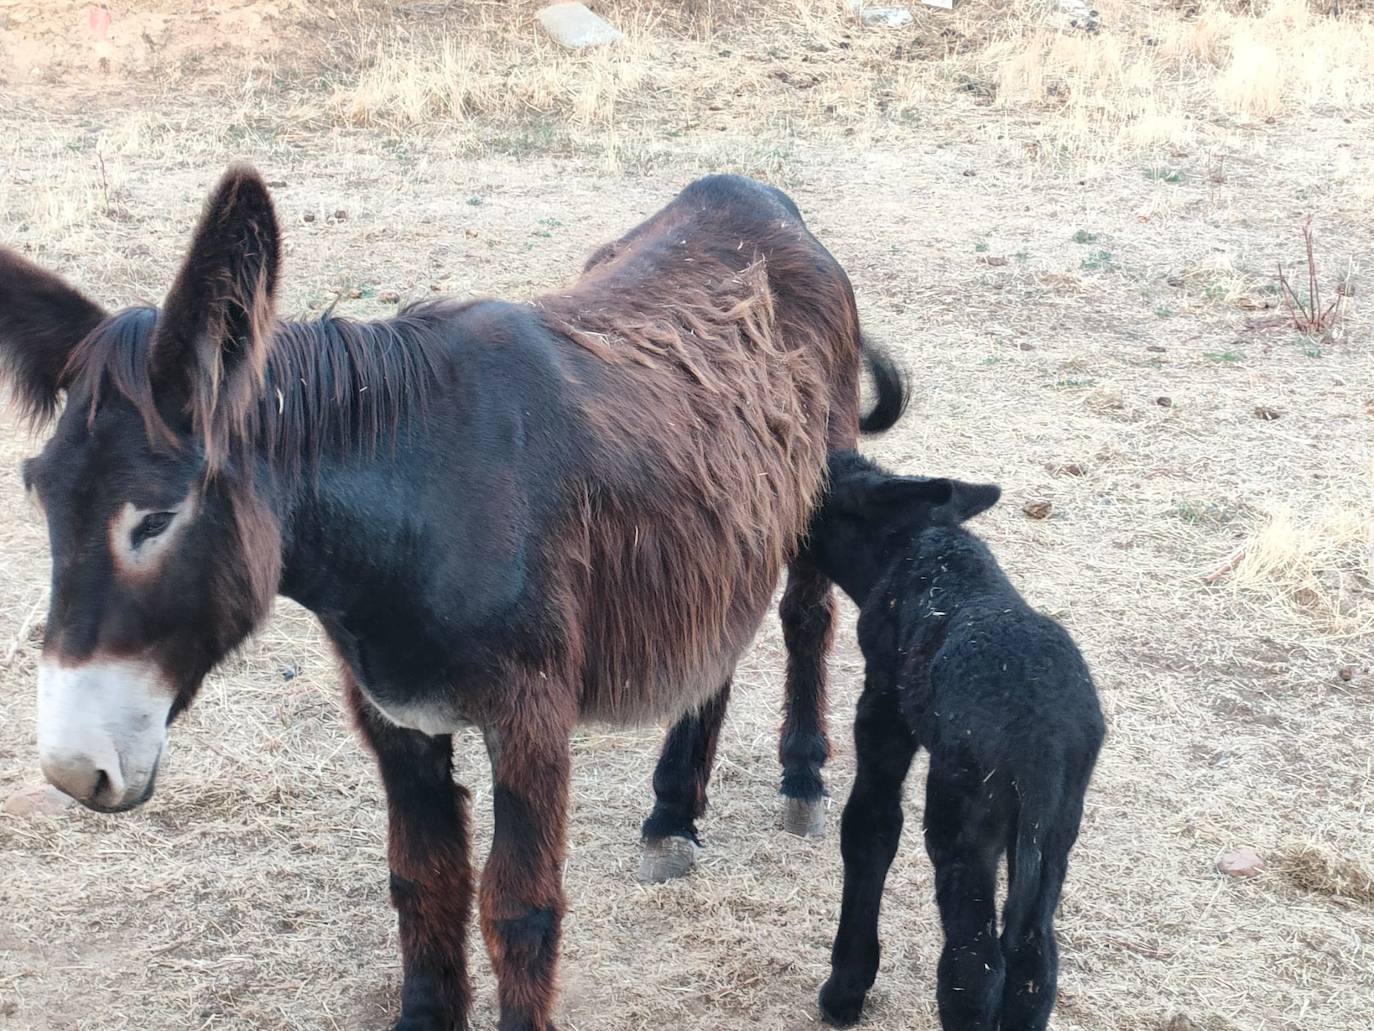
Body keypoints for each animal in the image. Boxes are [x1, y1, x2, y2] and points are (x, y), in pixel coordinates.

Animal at [802, 450, 1104, 1031]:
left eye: (822, 494)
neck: (912, 547)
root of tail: (1040, 753)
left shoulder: (884, 704)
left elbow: (870, 826)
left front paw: (845, 989)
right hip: (1059, 824)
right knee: (1035, 960)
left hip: (966, 813)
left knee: (973, 964)